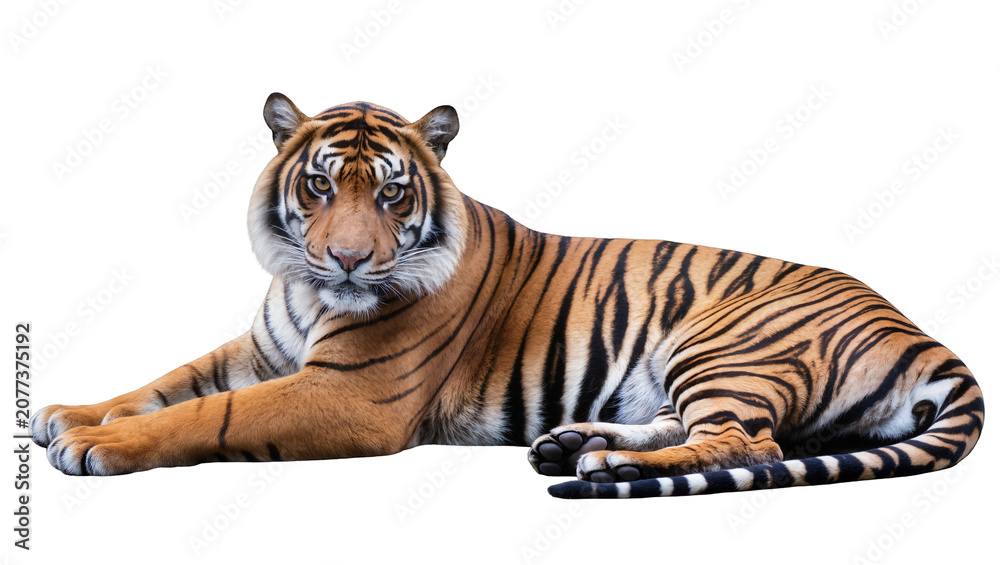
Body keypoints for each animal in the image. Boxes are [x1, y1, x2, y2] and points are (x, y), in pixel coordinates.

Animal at [31, 94, 984, 499]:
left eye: (391, 194)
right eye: (319, 185)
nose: (346, 260)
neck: (307, 289)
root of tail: (921, 330)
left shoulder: (350, 395)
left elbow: (208, 413)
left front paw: (94, 445)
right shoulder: (261, 349)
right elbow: (165, 381)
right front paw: (68, 412)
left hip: (723, 340)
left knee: (743, 441)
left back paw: (608, 465)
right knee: (710, 430)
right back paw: (571, 443)